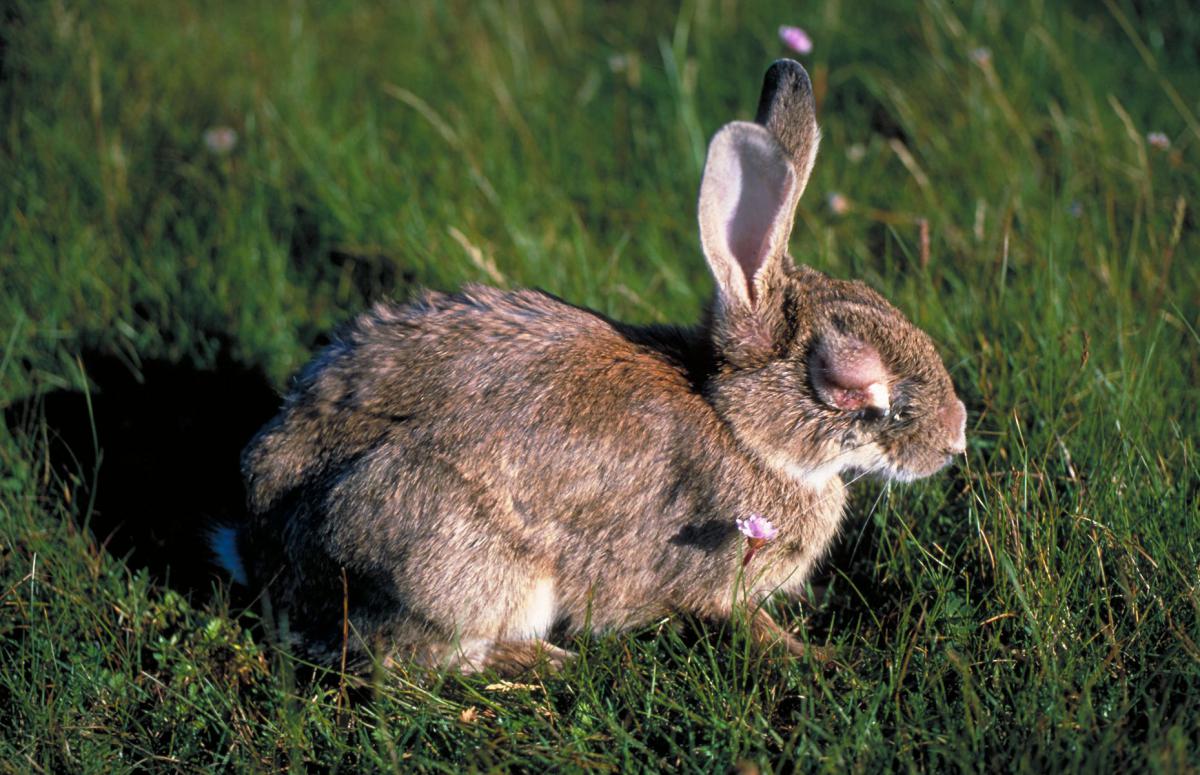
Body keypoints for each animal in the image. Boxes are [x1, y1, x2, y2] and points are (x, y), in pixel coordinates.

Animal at [213, 60, 964, 676]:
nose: (954, 440)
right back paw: (540, 659)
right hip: (452, 562)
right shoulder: (716, 571)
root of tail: (263, 549)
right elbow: (743, 622)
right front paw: (820, 656)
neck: (739, 426)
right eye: (850, 379)